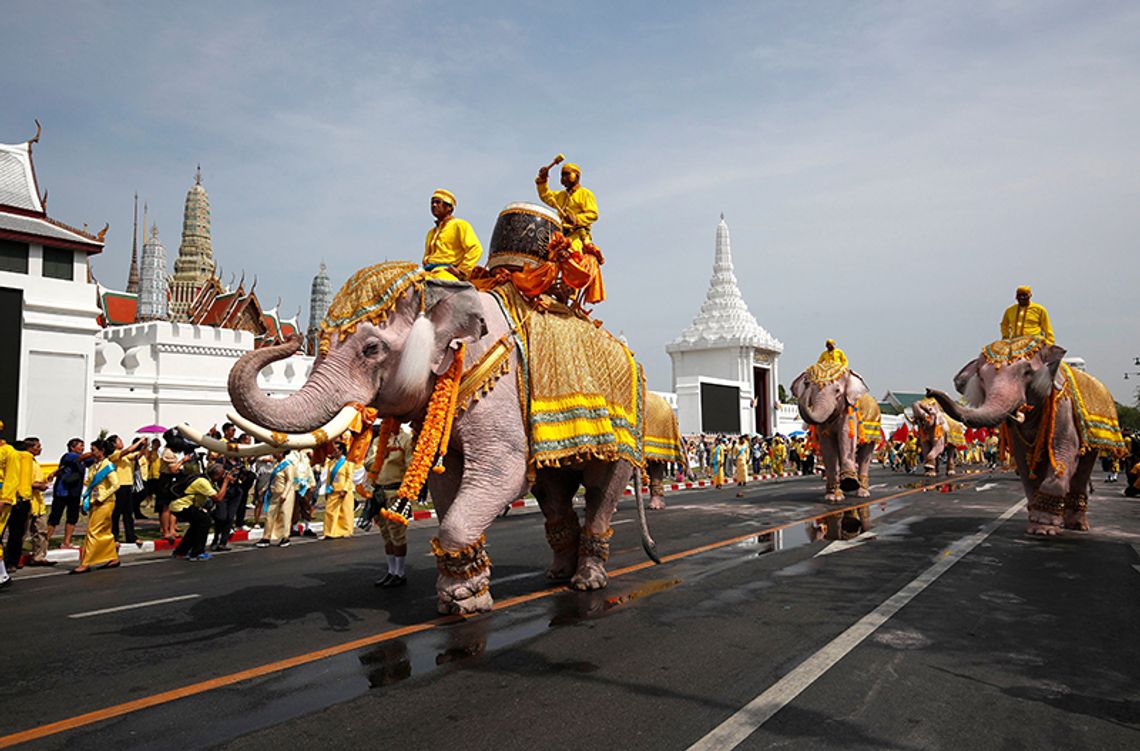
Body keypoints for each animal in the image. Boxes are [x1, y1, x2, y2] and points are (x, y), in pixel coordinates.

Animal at [218, 260, 661, 615]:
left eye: (372, 348)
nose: (292, 340)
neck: (439, 291)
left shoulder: (498, 391)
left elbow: (503, 475)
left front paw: (466, 603)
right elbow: (446, 482)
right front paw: (458, 597)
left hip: (623, 437)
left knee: (601, 491)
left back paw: (587, 582)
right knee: (553, 495)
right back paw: (557, 575)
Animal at [793, 364, 880, 505]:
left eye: (837, 390)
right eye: (811, 388)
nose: (806, 381)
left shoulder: (849, 411)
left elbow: (845, 437)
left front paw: (849, 483)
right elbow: (827, 445)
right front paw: (833, 497)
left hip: (873, 427)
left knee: (865, 454)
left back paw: (862, 493)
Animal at [925, 337, 1130, 537]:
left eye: (1027, 372)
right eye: (981, 377)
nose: (929, 391)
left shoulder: (1063, 407)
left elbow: (1065, 452)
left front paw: (1045, 529)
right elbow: (1025, 463)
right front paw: (1038, 522)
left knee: (1083, 470)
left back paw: (1077, 525)